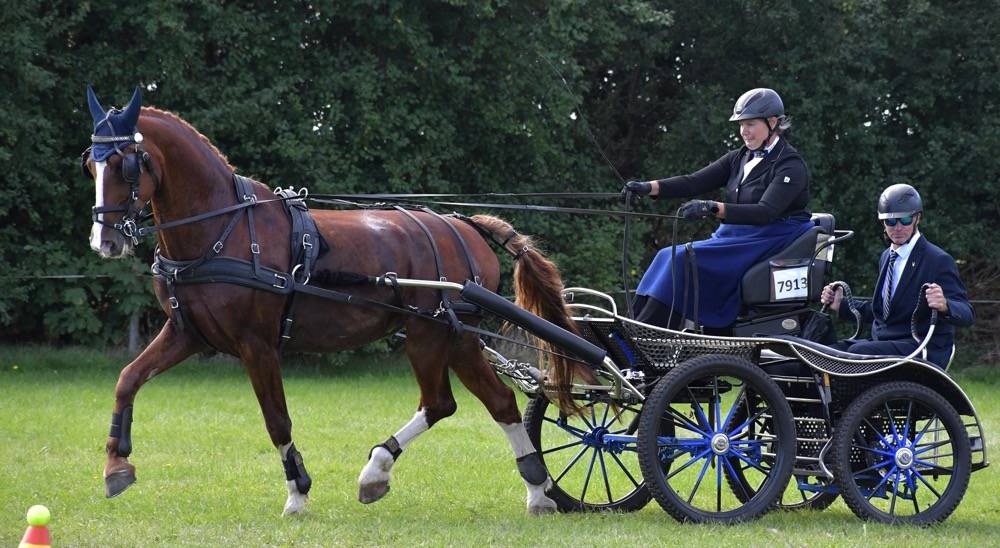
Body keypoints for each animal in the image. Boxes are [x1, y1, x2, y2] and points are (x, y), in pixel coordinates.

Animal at [82, 87, 585, 516]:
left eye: (126, 165)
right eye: (91, 164)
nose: (104, 241)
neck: (223, 228)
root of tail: (467, 227)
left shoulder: (256, 344)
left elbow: (277, 421)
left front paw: (297, 495)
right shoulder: (187, 332)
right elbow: (128, 379)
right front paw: (115, 466)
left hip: (435, 334)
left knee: (469, 402)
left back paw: (529, 491)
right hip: (450, 337)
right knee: (470, 402)